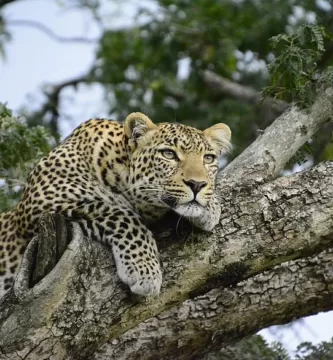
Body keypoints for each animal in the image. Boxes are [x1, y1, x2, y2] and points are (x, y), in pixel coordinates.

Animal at [0, 112, 231, 298]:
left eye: (208, 158)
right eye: (169, 154)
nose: (197, 184)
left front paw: (210, 206)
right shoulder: (40, 204)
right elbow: (120, 213)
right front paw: (144, 269)